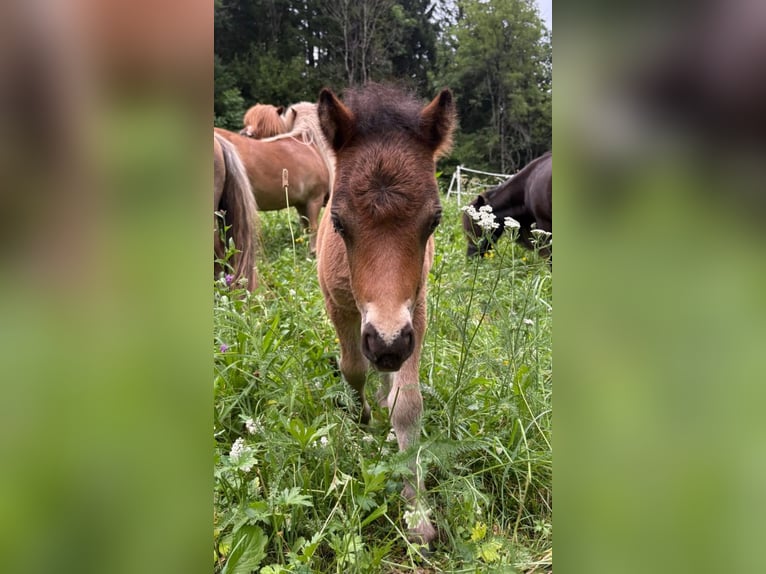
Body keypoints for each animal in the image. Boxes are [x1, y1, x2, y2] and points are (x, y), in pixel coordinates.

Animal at [316, 83, 456, 546]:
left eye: (434, 221)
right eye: (339, 223)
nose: (389, 344)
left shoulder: (416, 311)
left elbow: (407, 404)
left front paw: (418, 514)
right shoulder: (339, 305)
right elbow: (352, 368)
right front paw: (361, 419)